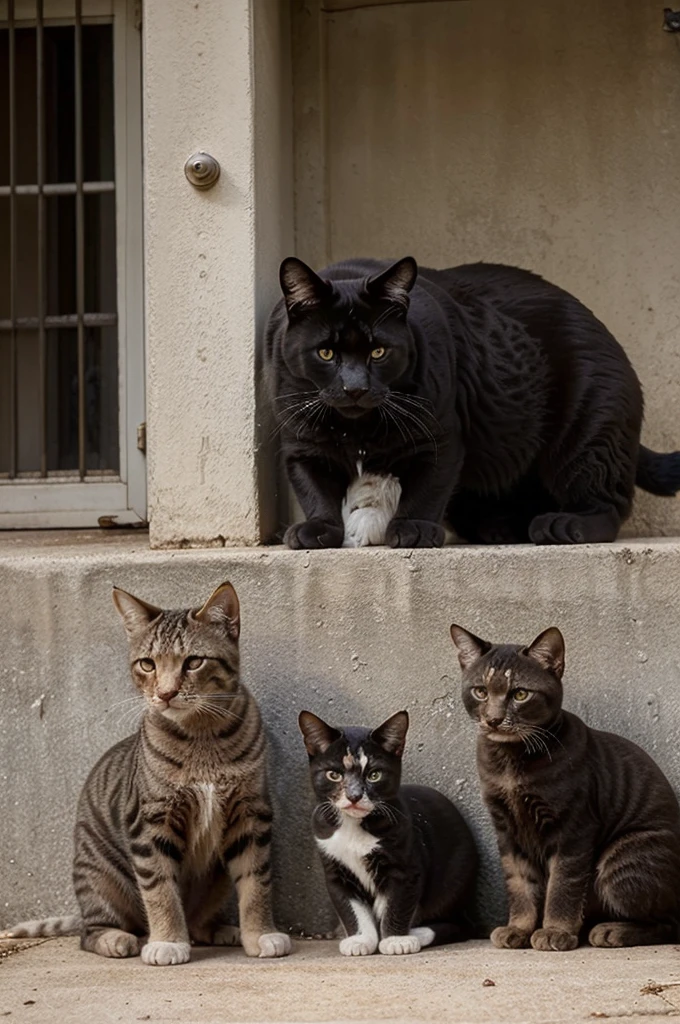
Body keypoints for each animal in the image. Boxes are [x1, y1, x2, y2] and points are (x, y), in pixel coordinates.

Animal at [3, 581, 292, 962]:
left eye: (194, 662)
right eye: (147, 664)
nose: (166, 694)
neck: (201, 736)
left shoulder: (250, 814)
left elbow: (256, 881)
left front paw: (260, 934)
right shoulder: (151, 821)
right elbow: (160, 889)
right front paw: (167, 941)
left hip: (215, 878)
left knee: (198, 923)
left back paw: (220, 929)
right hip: (100, 877)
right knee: (90, 932)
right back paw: (119, 939)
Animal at [261, 256, 680, 548]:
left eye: (378, 352)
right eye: (326, 353)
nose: (355, 388)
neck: (356, 427)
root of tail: (603, 329)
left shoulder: (441, 436)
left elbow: (427, 489)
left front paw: (414, 529)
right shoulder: (300, 445)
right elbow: (315, 491)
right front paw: (318, 529)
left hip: (586, 438)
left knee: (608, 504)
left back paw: (562, 524)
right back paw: (502, 528)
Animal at [296, 708, 477, 954]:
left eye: (374, 775)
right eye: (334, 774)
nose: (354, 796)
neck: (354, 826)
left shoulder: (406, 862)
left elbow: (397, 903)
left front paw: (395, 940)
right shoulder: (334, 868)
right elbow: (350, 906)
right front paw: (360, 939)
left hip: (455, 880)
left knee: (459, 925)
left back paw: (416, 933)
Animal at [450, 622, 680, 950]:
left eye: (520, 694)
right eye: (480, 691)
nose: (493, 719)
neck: (510, 762)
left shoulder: (573, 828)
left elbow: (563, 886)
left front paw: (555, 931)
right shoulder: (506, 830)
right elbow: (519, 884)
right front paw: (518, 928)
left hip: (622, 859)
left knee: (669, 923)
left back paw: (611, 931)